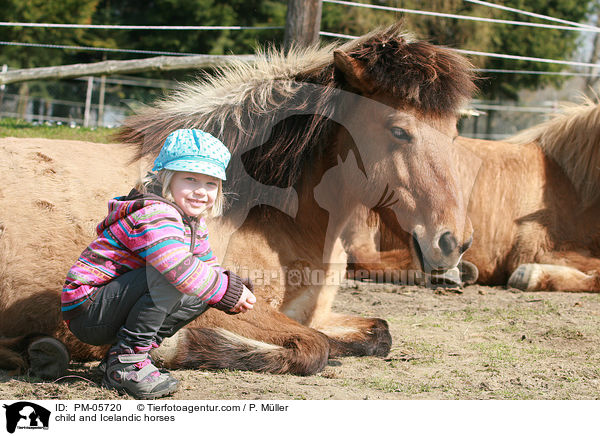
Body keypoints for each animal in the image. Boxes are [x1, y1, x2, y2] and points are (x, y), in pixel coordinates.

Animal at [1, 25, 478, 376]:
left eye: (455, 130)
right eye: (399, 131)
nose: (453, 242)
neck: (270, 213)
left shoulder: (314, 312)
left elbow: (378, 332)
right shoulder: (220, 303)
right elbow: (315, 347)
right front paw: (176, 349)